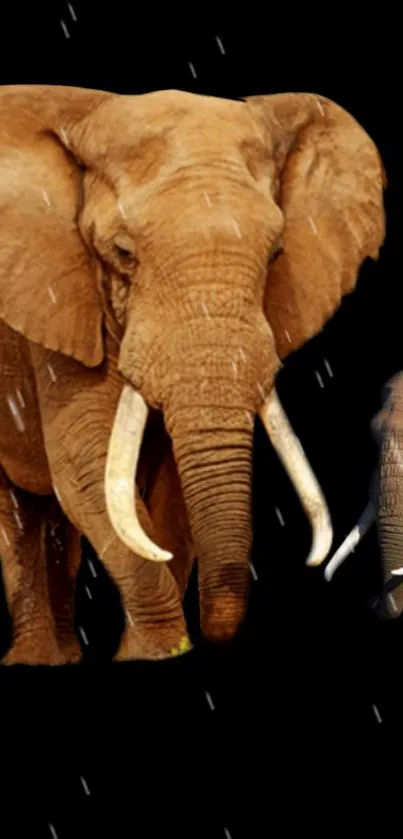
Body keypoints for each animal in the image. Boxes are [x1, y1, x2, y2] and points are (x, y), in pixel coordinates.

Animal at [0, 85, 388, 664]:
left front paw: (150, 654)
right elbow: (85, 460)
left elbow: (170, 488)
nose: (212, 634)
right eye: (123, 253)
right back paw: (35, 660)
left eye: (275, 254)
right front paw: (160, 653)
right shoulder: (57, 294)